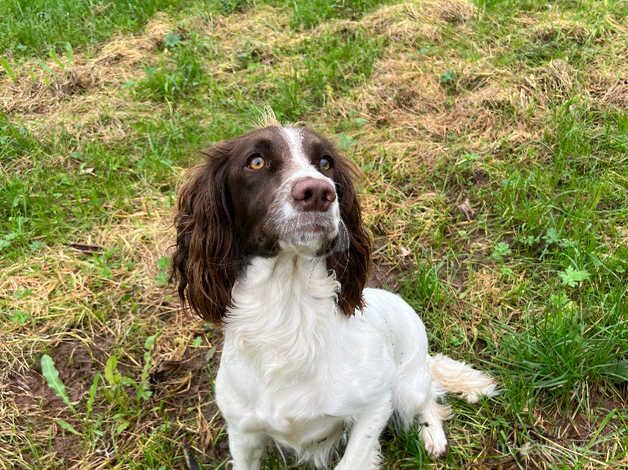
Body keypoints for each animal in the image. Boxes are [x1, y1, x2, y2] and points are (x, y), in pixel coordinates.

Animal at [172, 118, 496, 470]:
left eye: (325, 162)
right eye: (256, 161)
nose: (318, 192)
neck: (289, 311)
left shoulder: (375, 404)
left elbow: (352, 460)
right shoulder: (242, 431)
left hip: (406, 386)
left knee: (428, 399)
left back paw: (432, 435)